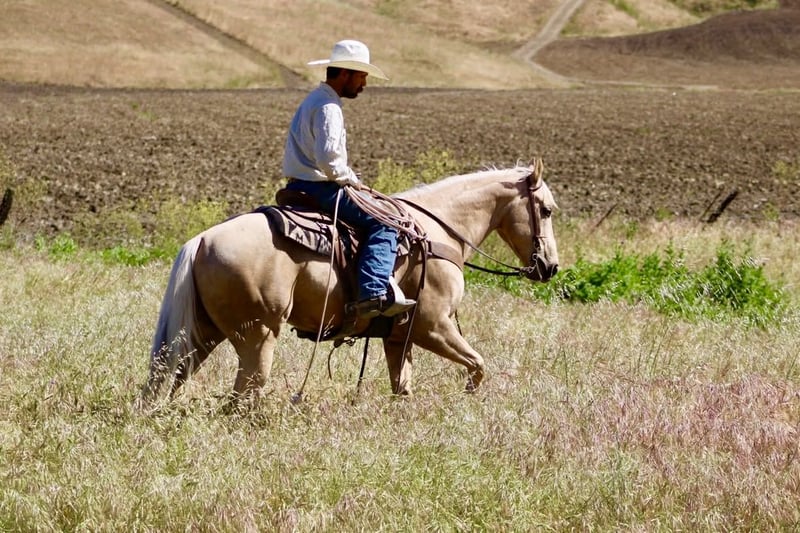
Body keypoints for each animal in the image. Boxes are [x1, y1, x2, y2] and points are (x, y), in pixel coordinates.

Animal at [139, 159, 559, 406]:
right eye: (546, 210)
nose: (550, 267)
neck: (436, 231)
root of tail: (202, 240)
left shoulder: (399, 337)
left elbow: (403, 389)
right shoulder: (433, 326)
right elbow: (477, 366)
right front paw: (467, 397)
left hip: (201, 334)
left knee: (167, 380)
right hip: (257, 336)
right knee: (243, 396)